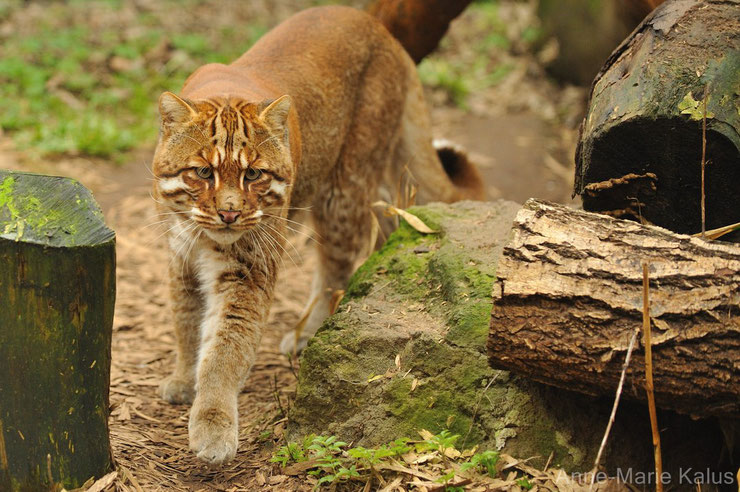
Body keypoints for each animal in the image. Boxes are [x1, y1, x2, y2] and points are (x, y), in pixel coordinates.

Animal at [152, 4, 486, 466]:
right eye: (203, 172)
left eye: (253, 174)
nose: (230, 213)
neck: (203, 237)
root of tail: (374, 26)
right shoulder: (178, 256)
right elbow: (185, 321)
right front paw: (184, 379)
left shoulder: (248, 270)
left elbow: (225, 347)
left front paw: (213, 426)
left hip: (343, 190)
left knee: (342, 263)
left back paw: (310, 332)